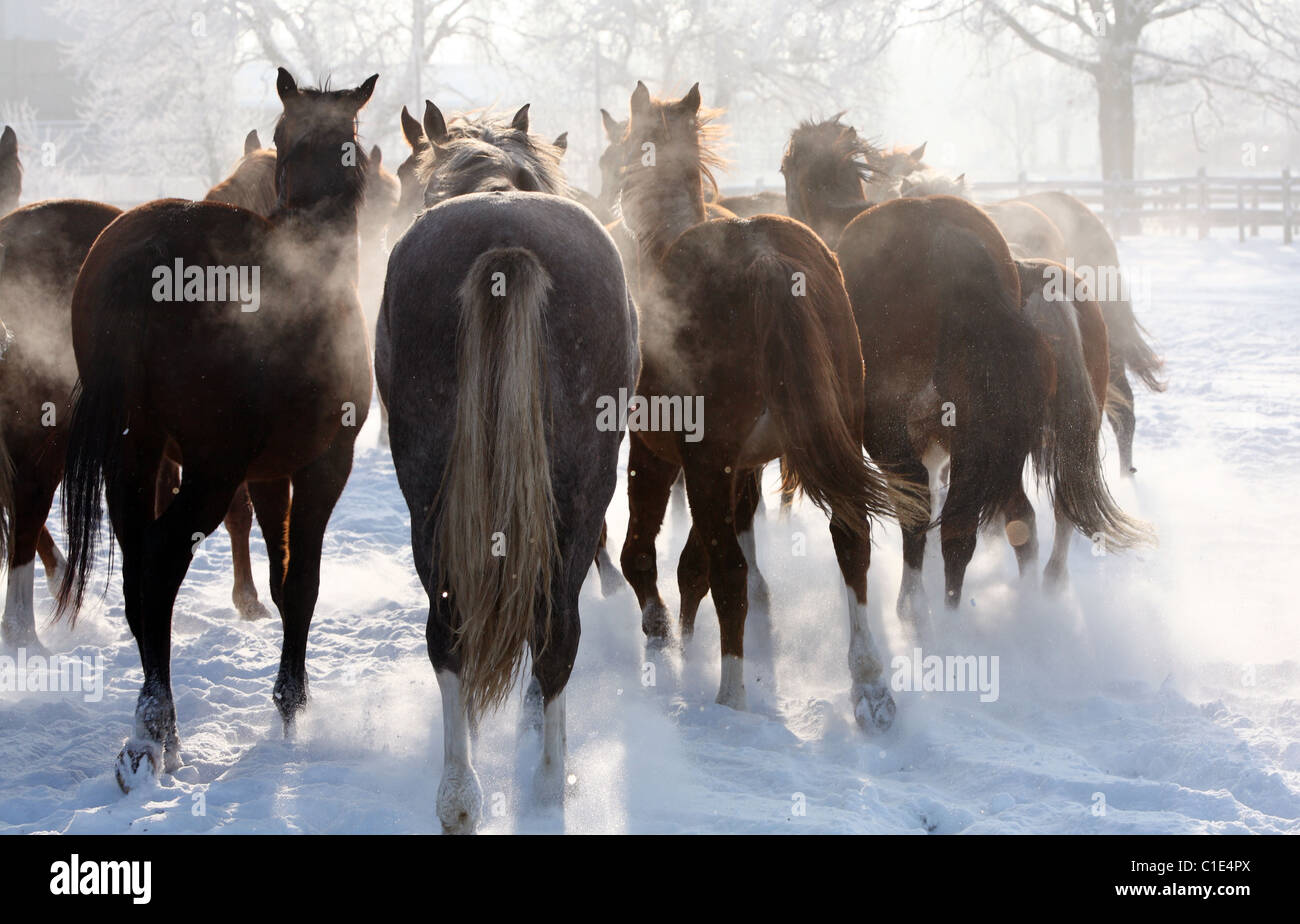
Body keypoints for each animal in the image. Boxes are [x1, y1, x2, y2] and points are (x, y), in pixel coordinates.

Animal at [58, 68, 379, 795]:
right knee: (160, 565)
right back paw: (153, 734)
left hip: (139, 454)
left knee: (139, 576)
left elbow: (283, 576)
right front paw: (291, 705)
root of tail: (146, 253)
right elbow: (301, 584)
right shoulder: (322, 465)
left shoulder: (266, 475)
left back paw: (157, 729)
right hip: (209, 469)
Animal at [377, 99, 639, 831]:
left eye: (405, 174)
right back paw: (538, 786)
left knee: (459, 628)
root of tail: (505, 242)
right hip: (577, 492)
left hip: (439, 495)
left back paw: (468, 795)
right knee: (550, 634)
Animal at [613, 88, 909, 738]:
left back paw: (731, 696)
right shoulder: (744, 466)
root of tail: (764, 262)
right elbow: (702, 563)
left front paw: (666, 643)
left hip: (703, 461)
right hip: (826, 438)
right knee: (850, 542)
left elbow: (650, 558)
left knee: (727, 574)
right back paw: (870, 685)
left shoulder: (661, 454)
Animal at [780, 113, 1149, 621]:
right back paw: (1031, 594)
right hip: (1025, 435)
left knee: (930, 508)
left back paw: (916, 609)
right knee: (1026, 516)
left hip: (907, 430)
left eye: (783, 169)